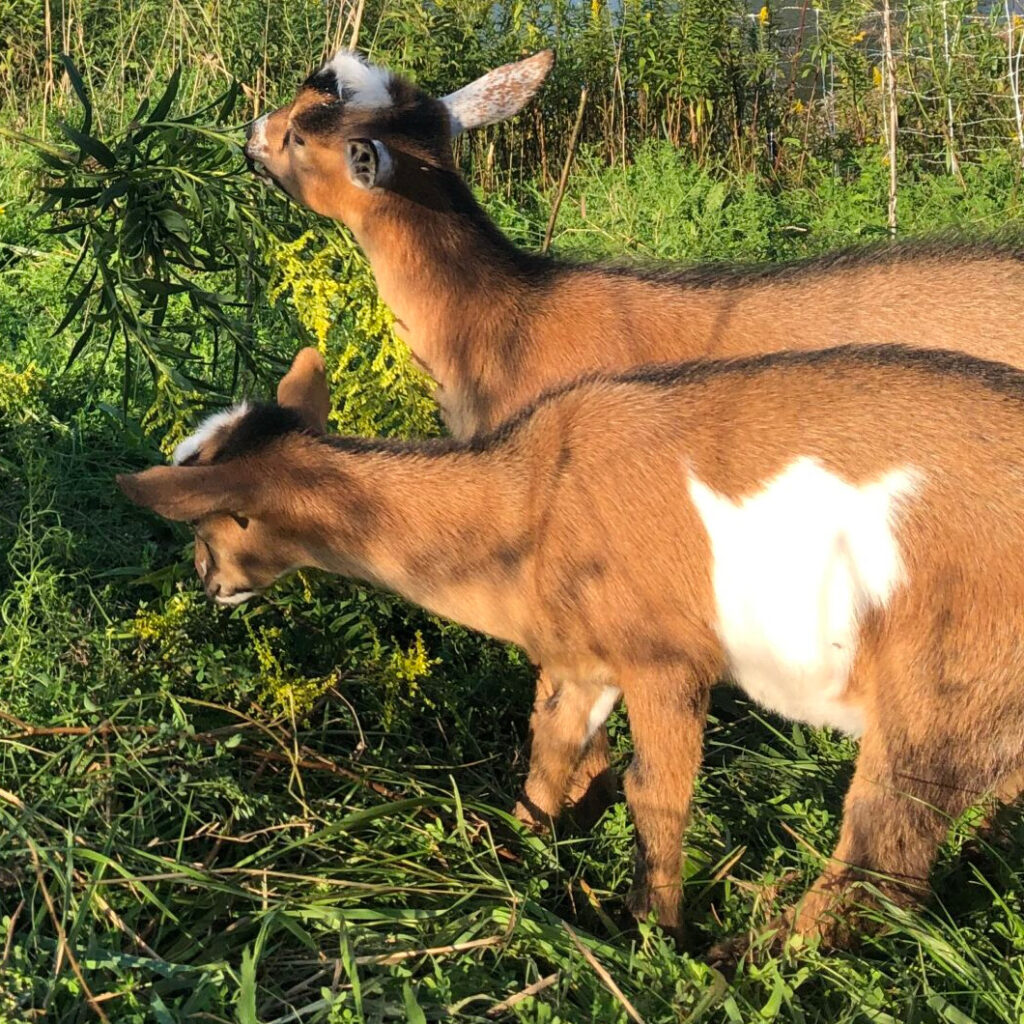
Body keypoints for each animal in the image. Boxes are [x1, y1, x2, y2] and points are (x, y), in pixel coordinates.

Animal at [120, 344, 1024, 948]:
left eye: (212, 522)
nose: (209, 583)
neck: (531, 500)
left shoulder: (664, 657)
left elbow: (655, 792)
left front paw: (654, 937)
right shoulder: (582, 659)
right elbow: (550, 750)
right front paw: (511, 853)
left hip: (942, 680)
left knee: (885, 858)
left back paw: (754, 957)